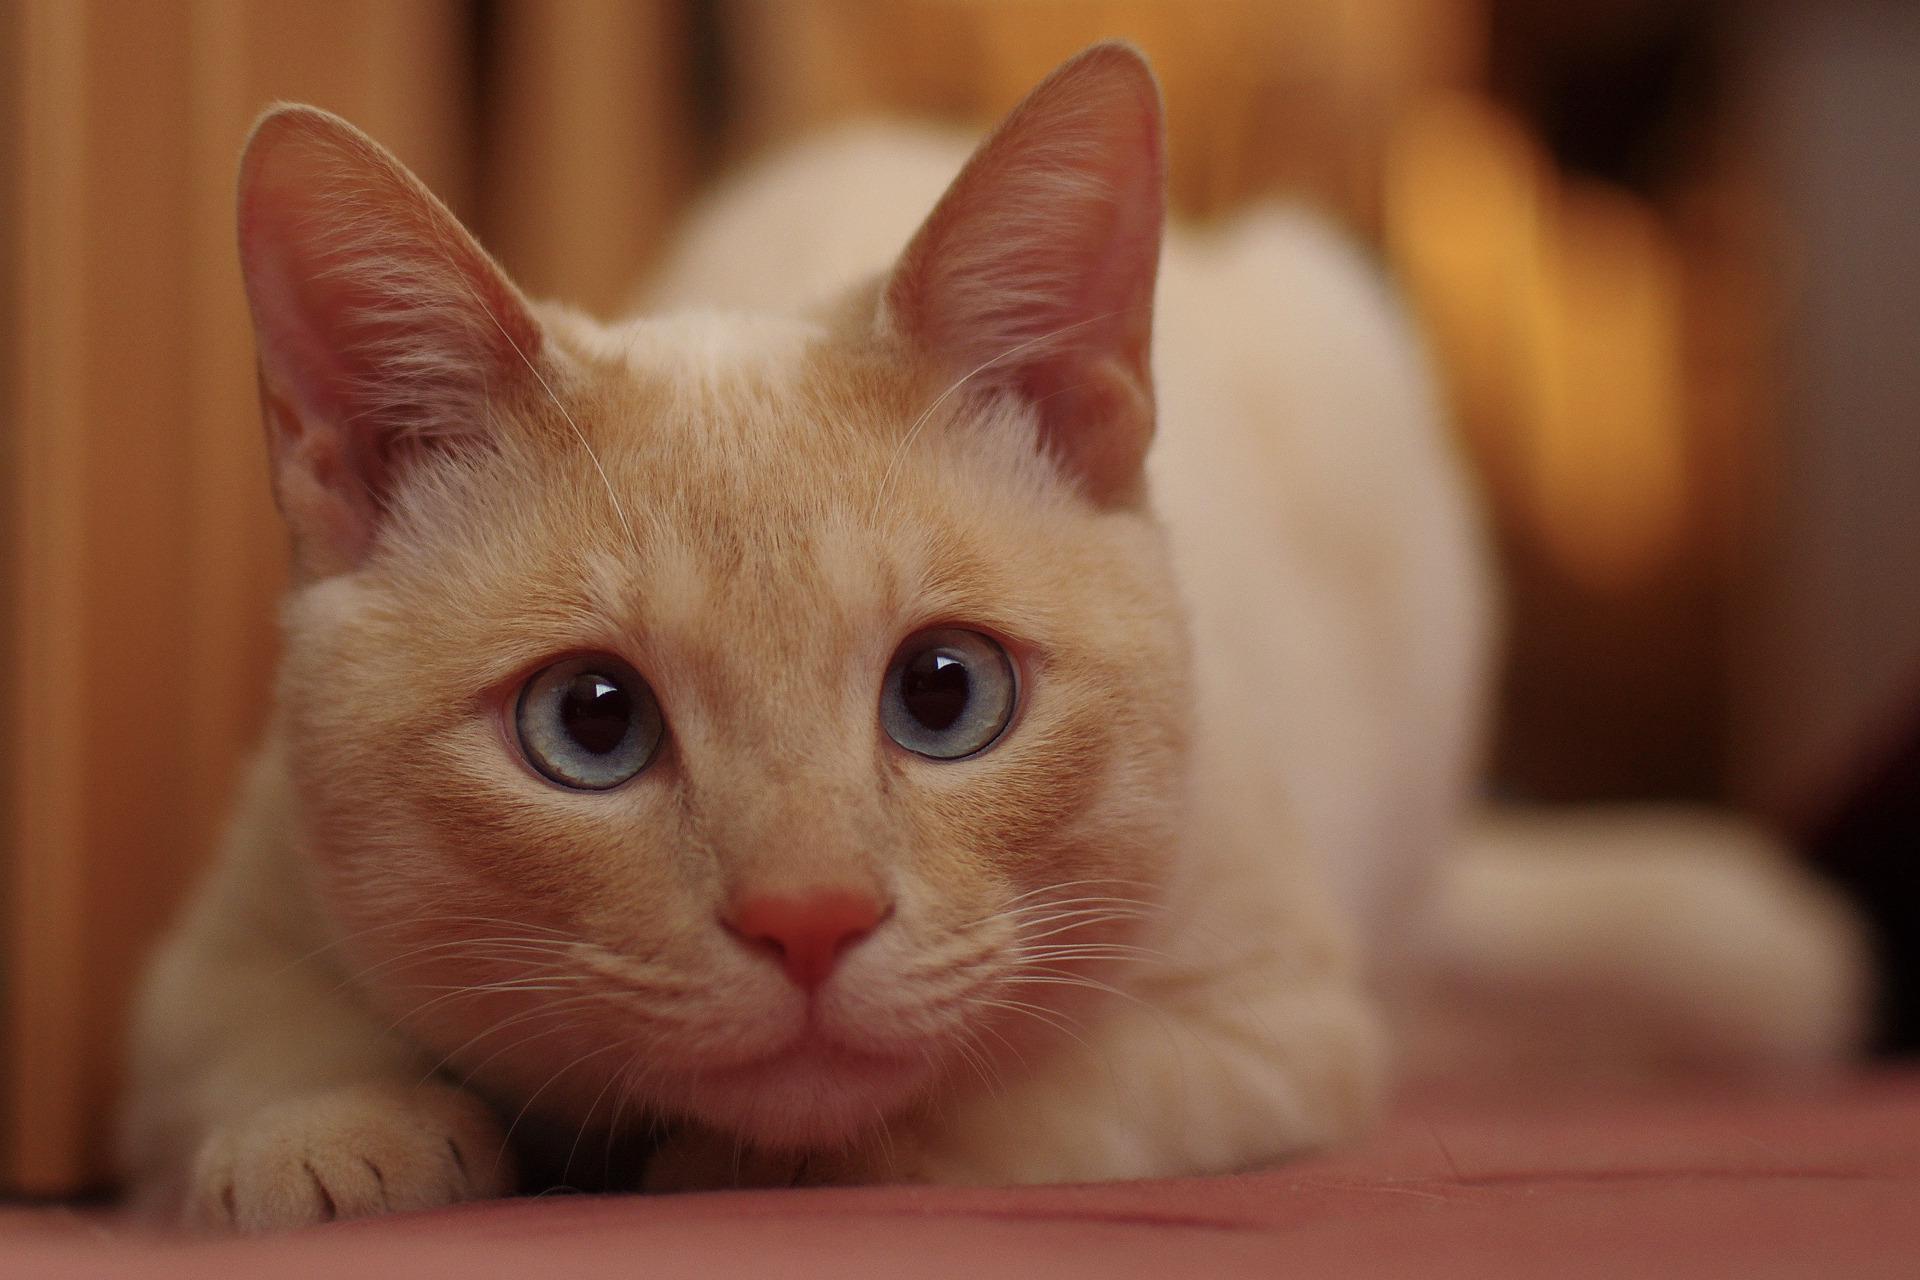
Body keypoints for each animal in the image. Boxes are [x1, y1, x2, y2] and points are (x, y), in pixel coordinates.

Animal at [116, 45, 1858, 1235]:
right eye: (590, 724)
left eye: (946, 696)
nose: (809, 920)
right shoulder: (218, 950)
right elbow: (249, 1060)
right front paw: (333, 1147)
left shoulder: (1275, 1023)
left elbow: (996, 1107)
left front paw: (740, 1154)